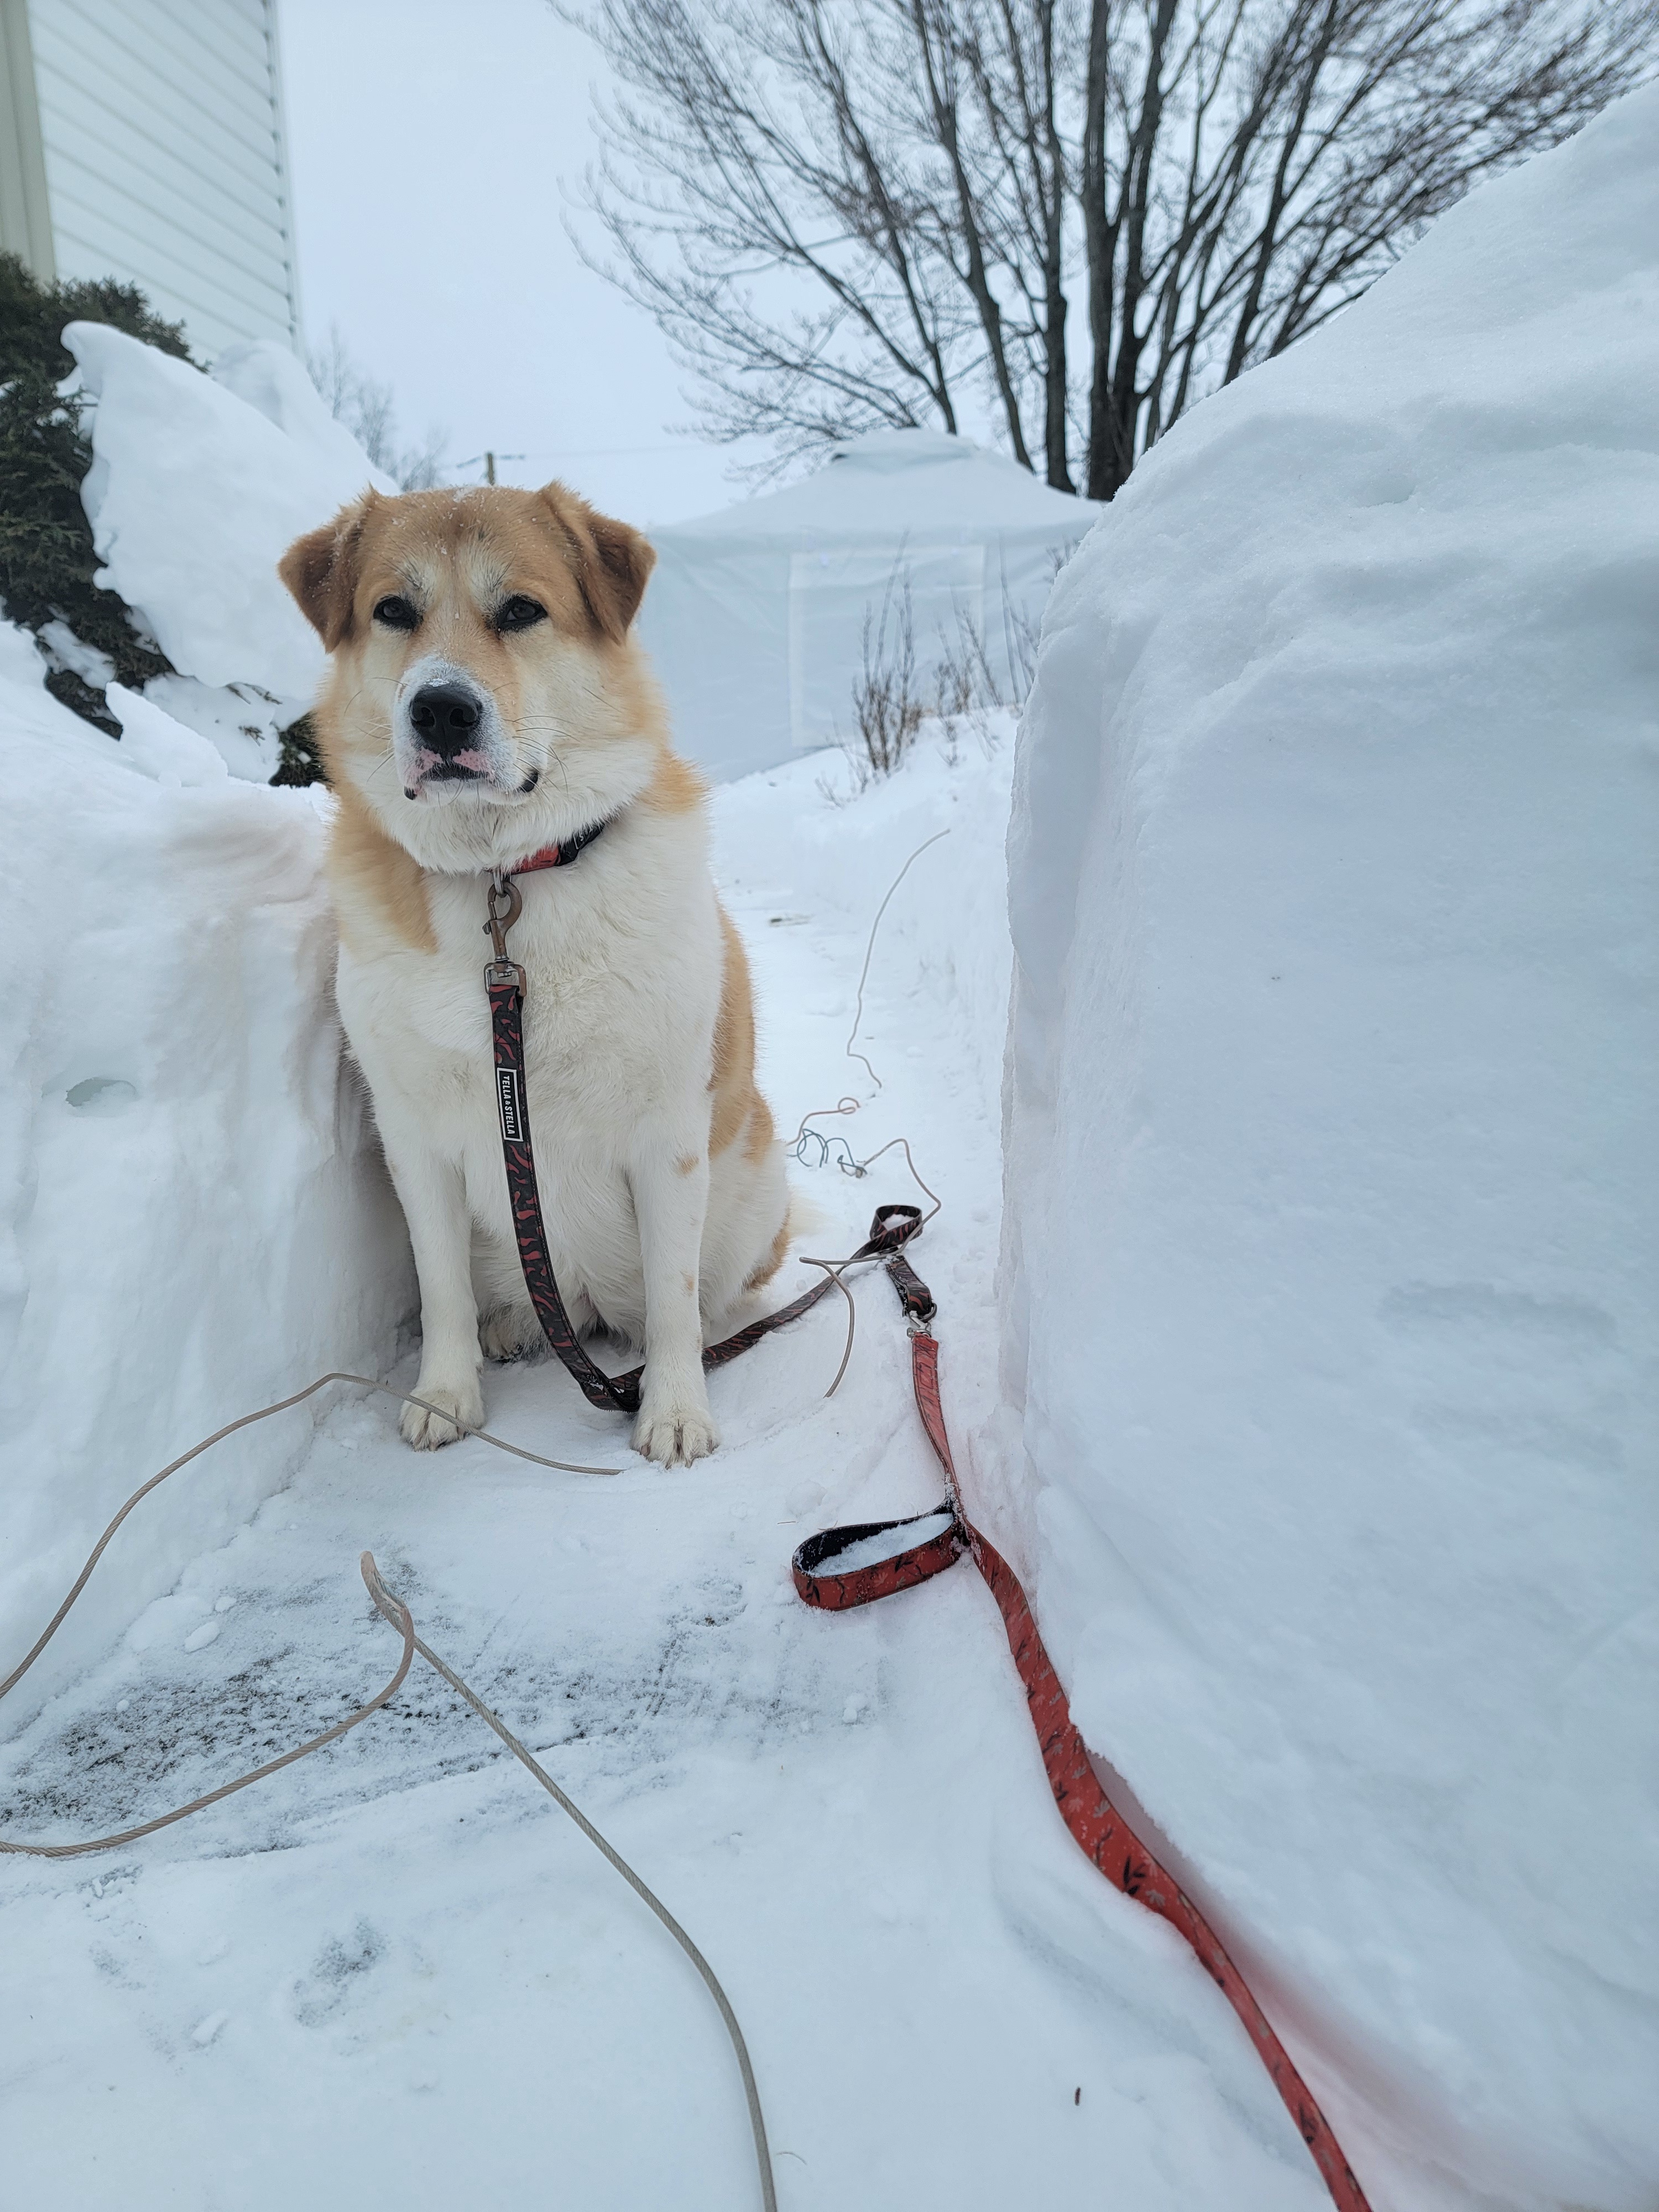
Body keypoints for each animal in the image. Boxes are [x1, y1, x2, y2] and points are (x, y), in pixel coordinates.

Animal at [283, 480, 796, 1469]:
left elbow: (674, 1299)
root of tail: (587, 1303)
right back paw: (511, 1331)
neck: (502, 880)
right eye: (393, 610)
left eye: (520, 610)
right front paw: (445, 1394)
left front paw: (674, 1408)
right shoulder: (414, 1139)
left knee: (697, 1297)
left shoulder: (669, 1136)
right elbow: (440, 1285)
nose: (442, 711)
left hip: (756, 1185)